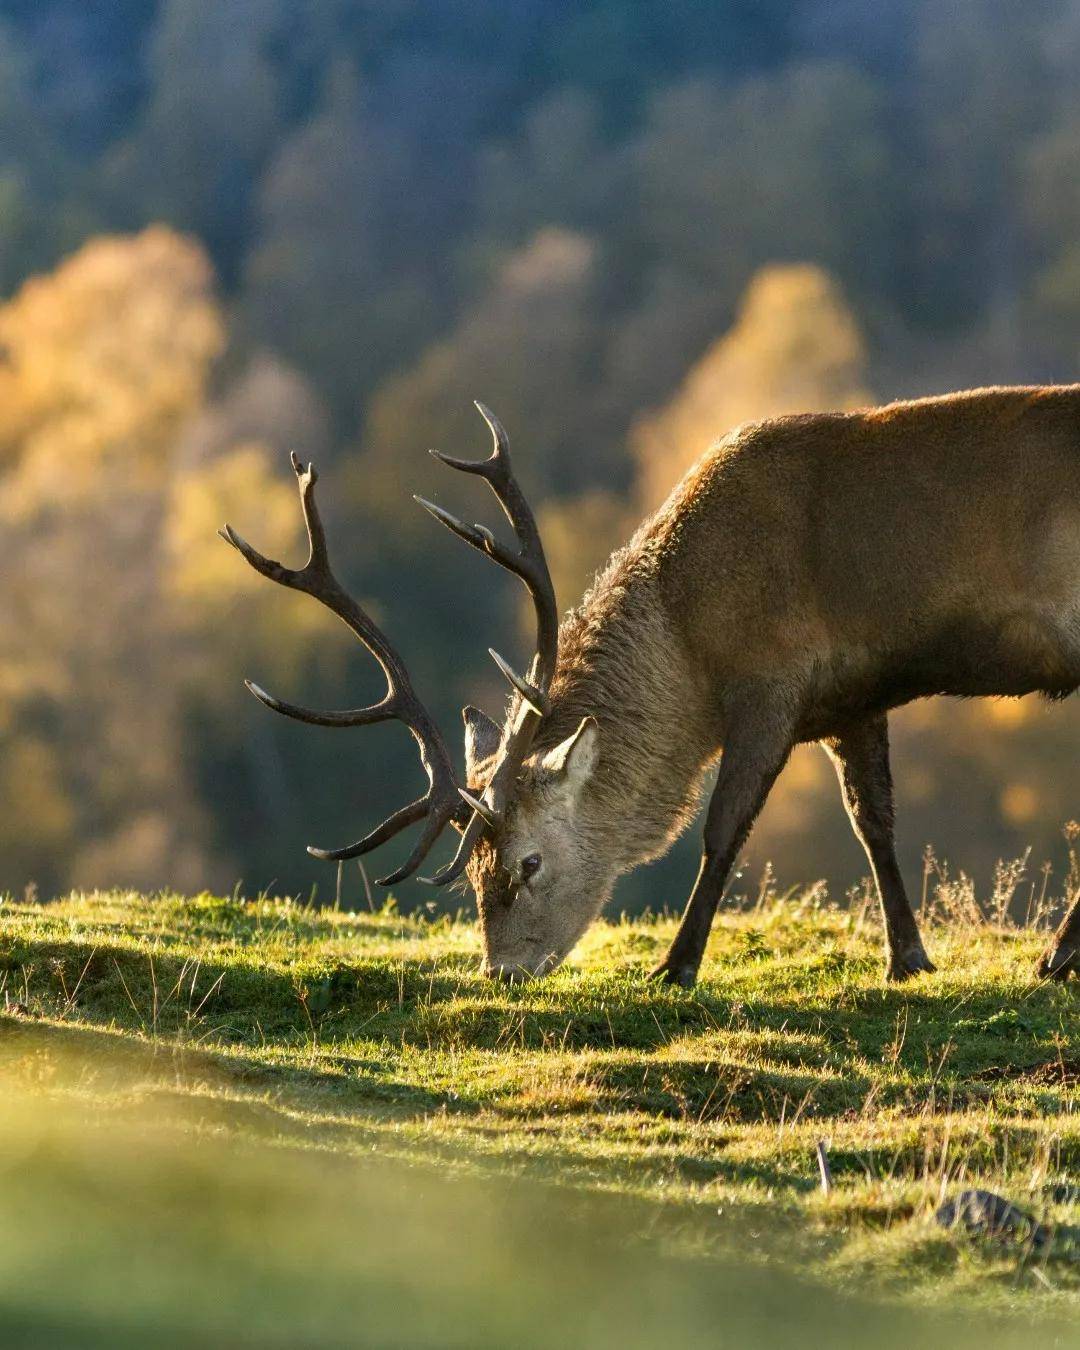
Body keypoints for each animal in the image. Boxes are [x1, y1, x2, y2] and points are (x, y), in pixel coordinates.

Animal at [221, 391, 1080, 993]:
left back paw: (1055, 958)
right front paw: (908, 958)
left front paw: (675, 966)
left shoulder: (772, 681)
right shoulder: (854, 696)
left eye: (528, 863)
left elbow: (723, 829)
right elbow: (875, 823)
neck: (689, 637)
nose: (502, 973)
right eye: (470, 872)